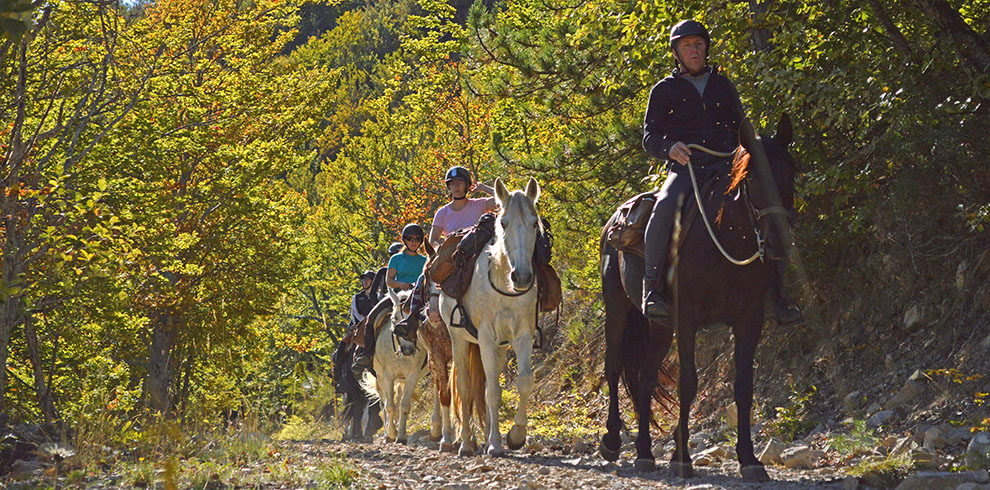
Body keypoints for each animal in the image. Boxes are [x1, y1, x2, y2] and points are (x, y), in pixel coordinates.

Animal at [362, 288, 428, 444]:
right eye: (394, 319)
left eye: (415, 320)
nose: (408, 350)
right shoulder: (387, 377)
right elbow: (389, 406)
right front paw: (391, 434)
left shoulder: (412, 376)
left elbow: (403, 405)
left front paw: (401, 436)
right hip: (380, 378)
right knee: (384, 403)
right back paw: (388, 431)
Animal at [444, 176, 548, 456]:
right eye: (504, 223)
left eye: (534, 223)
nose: (522, 277)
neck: (504, 286)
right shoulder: (486, 338)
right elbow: (488, 391)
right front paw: (494, 444)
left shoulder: (522, 336)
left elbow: (522, 382)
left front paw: (515, 436)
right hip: (459, 340)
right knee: (465, 387)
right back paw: (467, 443)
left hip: (499, 347)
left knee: (489, 387)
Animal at [596, 114, 800, 478]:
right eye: (752, 177)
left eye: (790, 172)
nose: (778, 243)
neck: (725, 240)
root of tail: (614, 221)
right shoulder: (687, 320)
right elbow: (688, 383)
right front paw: (681, 457)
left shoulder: (749, 322)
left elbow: (743, 387)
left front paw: (749, 459)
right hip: (617, 308)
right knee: (614, 367)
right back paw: (612, 441)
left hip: (660, 325)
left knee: (646, 377)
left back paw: (644, 452)